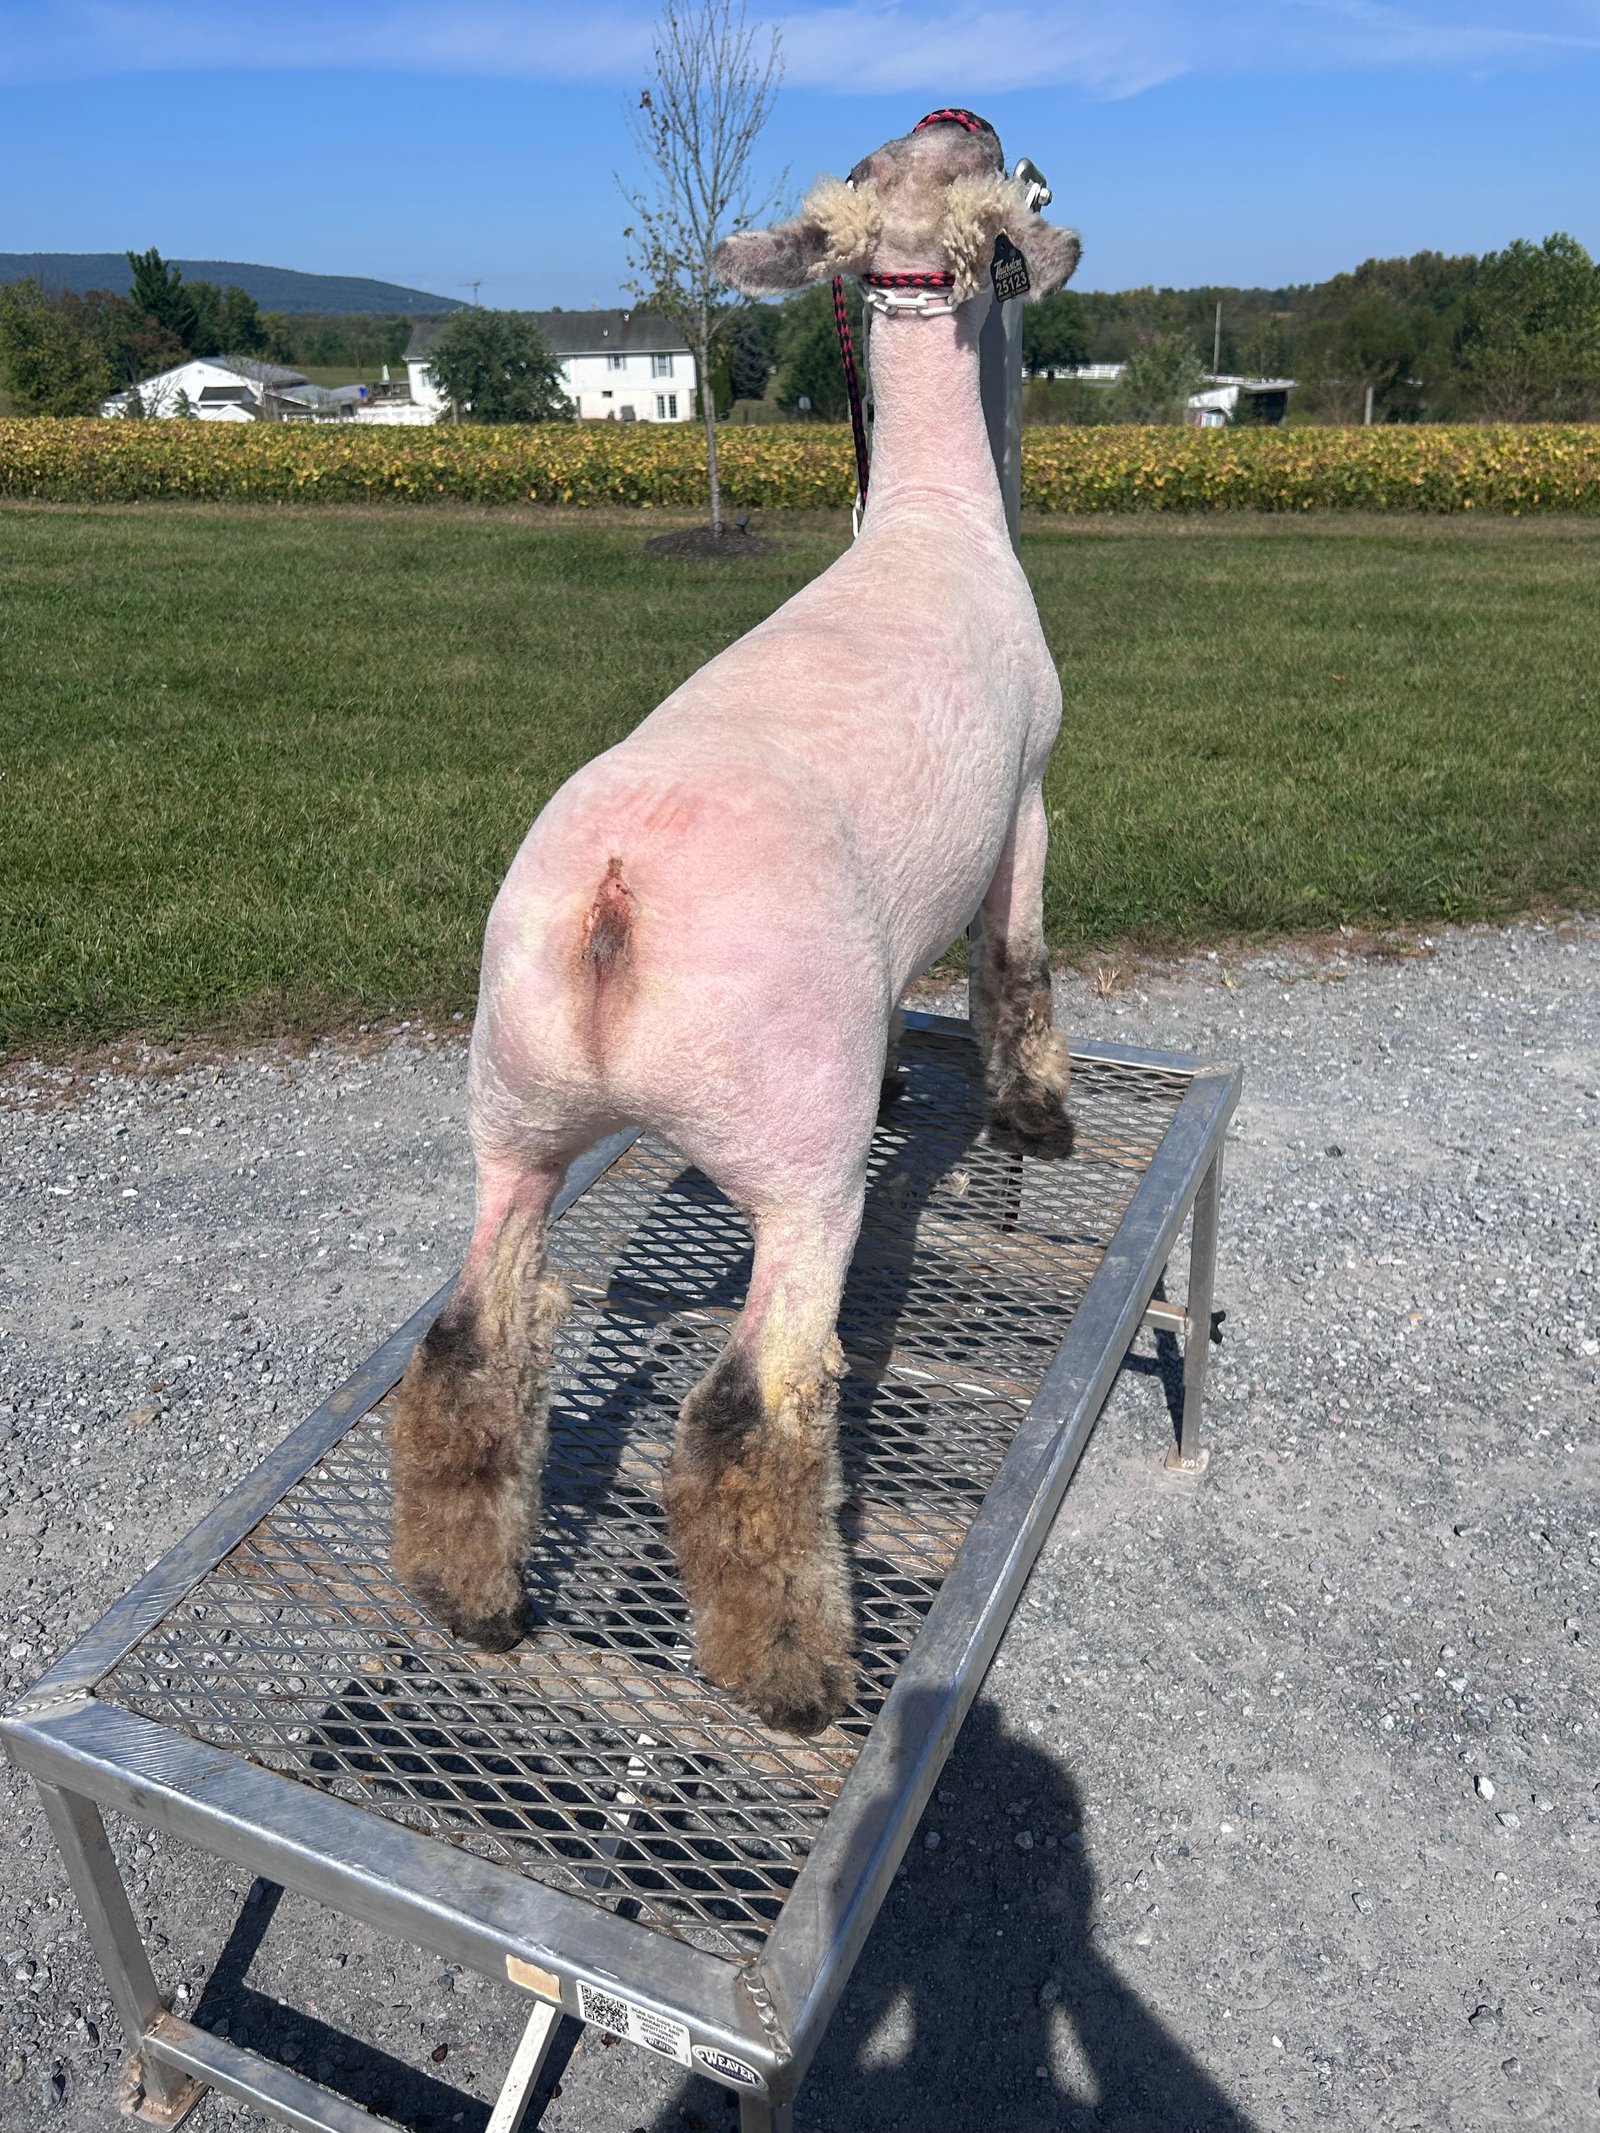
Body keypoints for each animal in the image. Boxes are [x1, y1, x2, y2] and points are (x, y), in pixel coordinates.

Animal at [390, 109, 1082, 1736]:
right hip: (794, 1160)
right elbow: (1015, 963)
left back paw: (473, 1595)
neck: (927, 516)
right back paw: (794, 1675)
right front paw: (1036, 1115)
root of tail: (613, 909)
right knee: (749, 1415)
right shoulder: (1029, 788)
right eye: (978, 168)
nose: (964, 110)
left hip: (512, 1109)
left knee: (467, 1352)